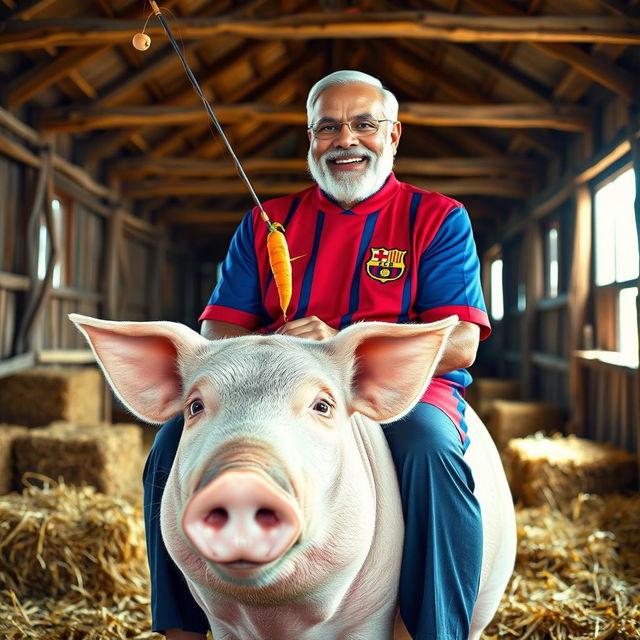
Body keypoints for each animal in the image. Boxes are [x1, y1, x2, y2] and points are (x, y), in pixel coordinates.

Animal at [70, 312, 516, 636]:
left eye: (323, 406)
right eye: (194, 406)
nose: (242, 480)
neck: (275, 618)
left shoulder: (373, 613)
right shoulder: (220, 618)